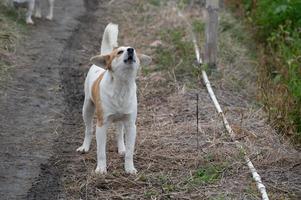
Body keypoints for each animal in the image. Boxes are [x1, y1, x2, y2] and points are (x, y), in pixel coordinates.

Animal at [76, 22, 151, 174]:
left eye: (134, 51)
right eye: (120, 52)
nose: (131, 50)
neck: (122, 85)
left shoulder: (131, 125)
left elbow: (130, 152)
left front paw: (129, 168)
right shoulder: (101, 125)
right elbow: (101, 152)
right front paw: (101, 169)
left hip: (121, 119)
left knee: (119, 132)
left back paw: (121, 148)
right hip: (87, 109)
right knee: (88, 130)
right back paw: (85, 147)